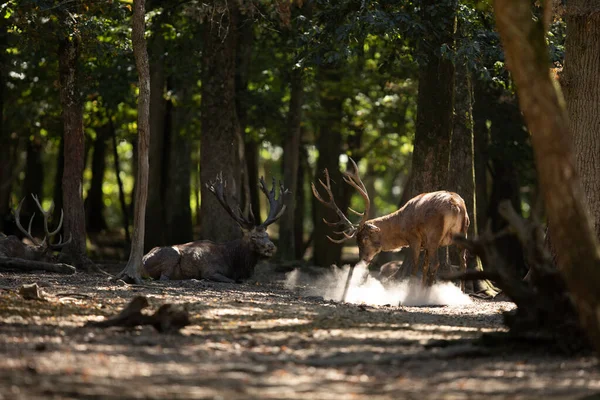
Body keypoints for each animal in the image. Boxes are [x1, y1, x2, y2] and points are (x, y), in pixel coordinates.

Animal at [143, 173, 288, 282]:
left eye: (267, 235)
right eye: (253, 236)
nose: (271, 246)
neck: (235, 264)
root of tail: (143, 260)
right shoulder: (210, 270)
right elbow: (231, 280)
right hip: (172, 254)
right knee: (163, 278)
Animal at [312, 158, 472, 292]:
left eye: (364, 239)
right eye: (356, 242)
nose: (362, 260)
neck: (401, 226)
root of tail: (456, 206)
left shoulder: (415, 238)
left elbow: (415, 265)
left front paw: (412, 291)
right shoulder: (425, 243)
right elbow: (424, 266)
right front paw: (420, 289)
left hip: (435, 232)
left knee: (436, 264)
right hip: (463, 230)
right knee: (463, 262)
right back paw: (462, 293)